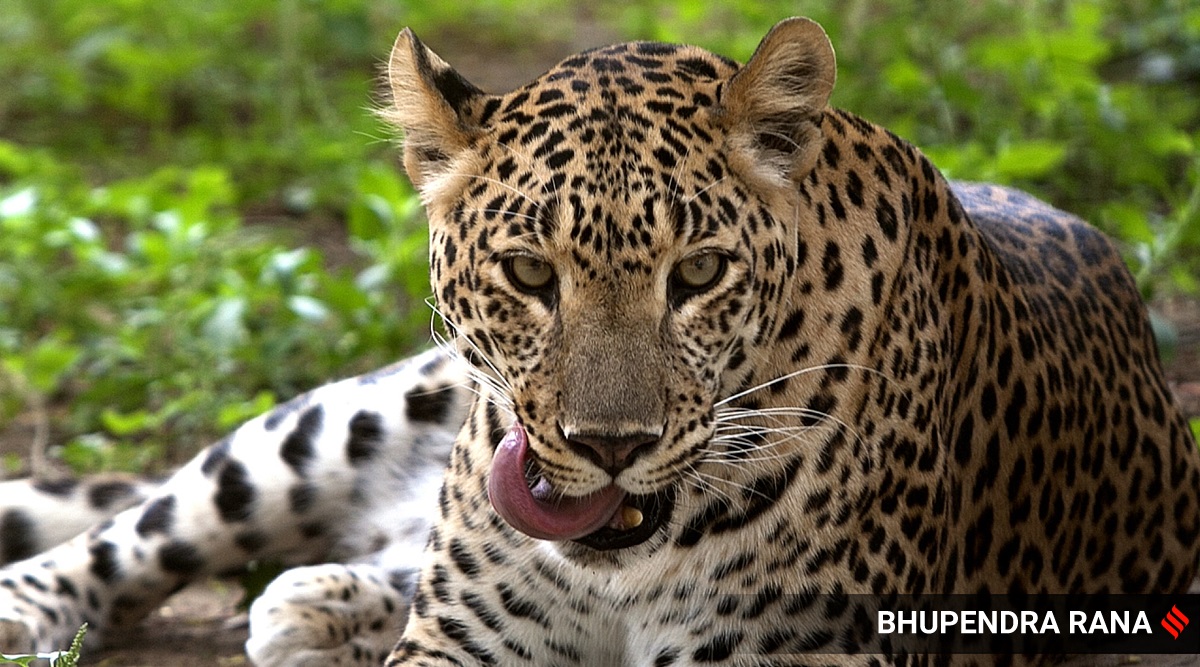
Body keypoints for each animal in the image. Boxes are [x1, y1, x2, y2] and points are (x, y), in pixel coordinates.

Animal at [0, 15, 1195, 667]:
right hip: (341, 421)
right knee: (144, 528)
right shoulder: (457, 642)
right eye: (531, 275)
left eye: (698, 274)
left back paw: (313, 604)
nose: (610, 445)